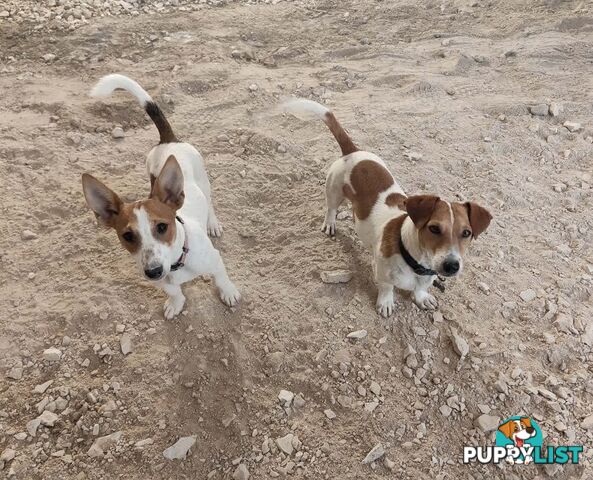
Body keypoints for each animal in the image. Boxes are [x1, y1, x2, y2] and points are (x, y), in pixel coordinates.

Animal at [282, 98, 490, 316]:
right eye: (434, 228)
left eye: (466, 233)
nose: (452, 266)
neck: (414, 259)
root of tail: (353, 151)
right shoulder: (381, 270)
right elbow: (386, 287)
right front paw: (386, 303)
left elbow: (420, 289)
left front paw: (421, 297)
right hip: (333, 191)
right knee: (331, 209)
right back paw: (330, 224)